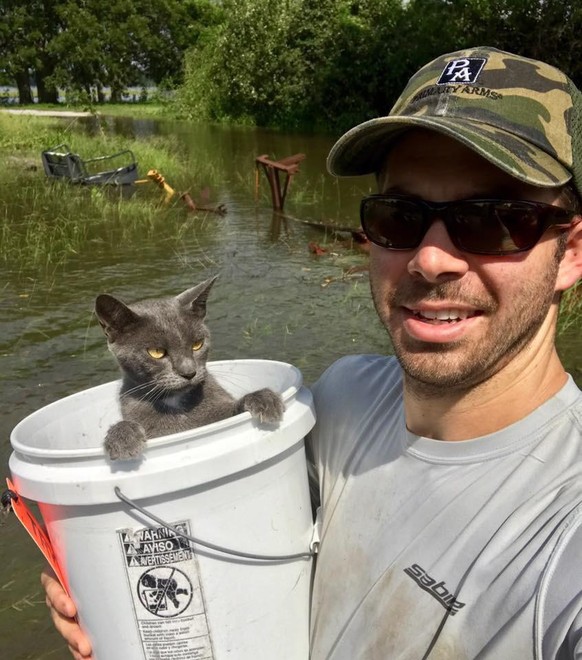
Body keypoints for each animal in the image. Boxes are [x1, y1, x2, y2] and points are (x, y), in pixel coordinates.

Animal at [95, 276, 286, 462]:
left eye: (197, 344)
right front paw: (123, 438)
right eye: (156, 352)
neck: (176, 402)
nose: (189, 372)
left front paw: (264, 400)